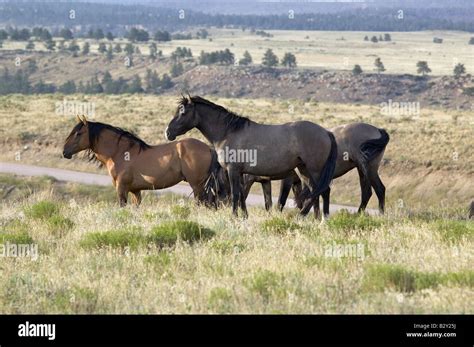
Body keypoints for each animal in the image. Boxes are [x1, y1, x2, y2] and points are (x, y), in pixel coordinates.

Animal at [61, 115, 222, 207]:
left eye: (78, 133)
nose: (64, 152)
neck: (120, 152)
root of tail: (208, 148)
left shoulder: (121, 188)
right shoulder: (135, 191)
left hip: (197, 185)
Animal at [165, 96, 338, 218]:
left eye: (182, 112)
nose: (168, 132)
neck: (228, 132)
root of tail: (326, 132)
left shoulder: (233, 170)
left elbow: (235, 195)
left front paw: (233, 217)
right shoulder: (242, 173)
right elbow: (242, 195)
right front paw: (244, 217)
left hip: (314, 170)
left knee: (322, 190)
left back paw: (309, 217)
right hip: (303, 170)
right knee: (317, 191)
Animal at [243, 122, 390, 215]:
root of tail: (378, 130)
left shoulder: (290, 178)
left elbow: (282, 200)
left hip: (368, 168)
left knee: (379, 189)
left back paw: (380, 215)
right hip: (362, 169)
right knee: (367, 192)